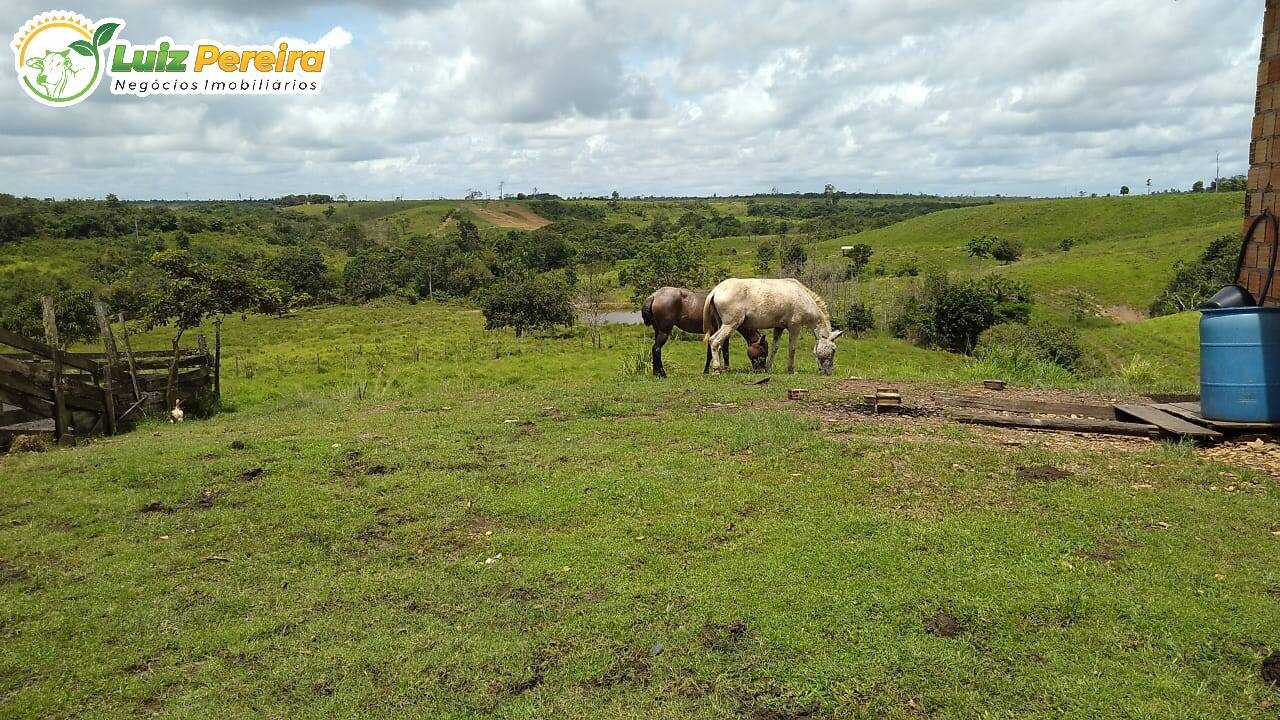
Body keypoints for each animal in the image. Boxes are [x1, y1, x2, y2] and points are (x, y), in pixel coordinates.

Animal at [701, 275, 839, 371]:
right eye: (833, 350)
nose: (828, 372)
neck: (803, 296)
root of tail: (716, 290)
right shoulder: (795, 326)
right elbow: (792, 348)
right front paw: (791, 370)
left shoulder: (779, 328)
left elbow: (774, 348)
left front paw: (768, 368)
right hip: (731, 324)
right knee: (714, 341)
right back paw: (716, 369)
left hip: (723, 325)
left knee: (719, 344)